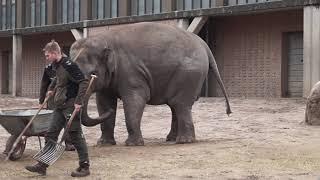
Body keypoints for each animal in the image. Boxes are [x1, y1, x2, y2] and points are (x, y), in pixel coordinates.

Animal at [70, 21, 231, 146]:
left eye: (93, 73)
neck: (105, 39)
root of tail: (203, 44)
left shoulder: (130, 72)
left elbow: (135, 100)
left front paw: (133, 144)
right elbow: (104, 102)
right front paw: (104, 143)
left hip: (189, 74)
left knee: (180, 104)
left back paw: (184, 141)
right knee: (175, 105)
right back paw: (171, 139)